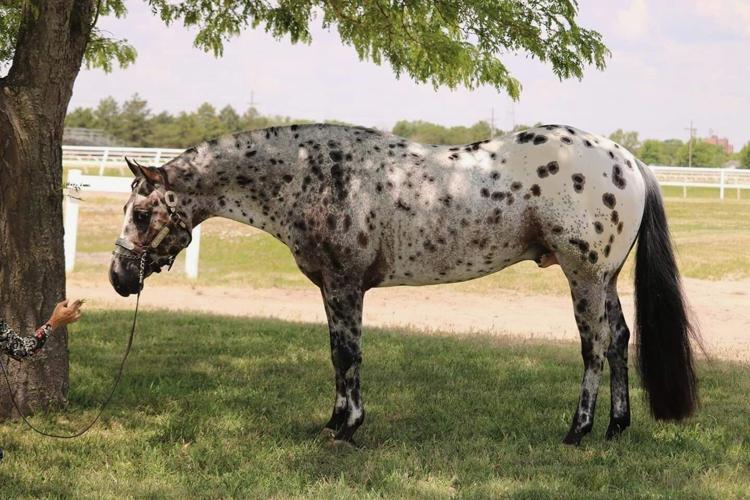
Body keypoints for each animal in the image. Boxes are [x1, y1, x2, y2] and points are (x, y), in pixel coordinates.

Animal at [109, 123, 698, 445]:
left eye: (142, 212)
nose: (118, 278)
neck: (313, 175)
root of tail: (627, 161)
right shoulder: (332, 289)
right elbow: (337, 355)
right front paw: (333, 422)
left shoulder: (344, 284)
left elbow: (347, 355)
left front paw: (348, 427)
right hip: (606, 278)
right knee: (618, 341)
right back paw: (617, 427)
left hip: (584, 276)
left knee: (593, 347)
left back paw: (577, 431)